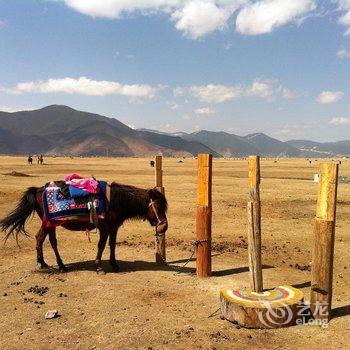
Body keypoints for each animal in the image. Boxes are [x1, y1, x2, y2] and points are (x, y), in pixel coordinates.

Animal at [0, 183, 168, 274]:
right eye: (158, 206)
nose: (164, 226)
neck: (115, 201)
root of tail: (38, 190)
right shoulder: (104, 227)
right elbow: (101, 245)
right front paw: (99, 266)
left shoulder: (114, 227)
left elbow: (112, 245)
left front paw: (114, 265)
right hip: (48, 223)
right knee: (40, 238)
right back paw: (43, 263)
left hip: (51, 223)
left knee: (51, 241)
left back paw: (58, 265)